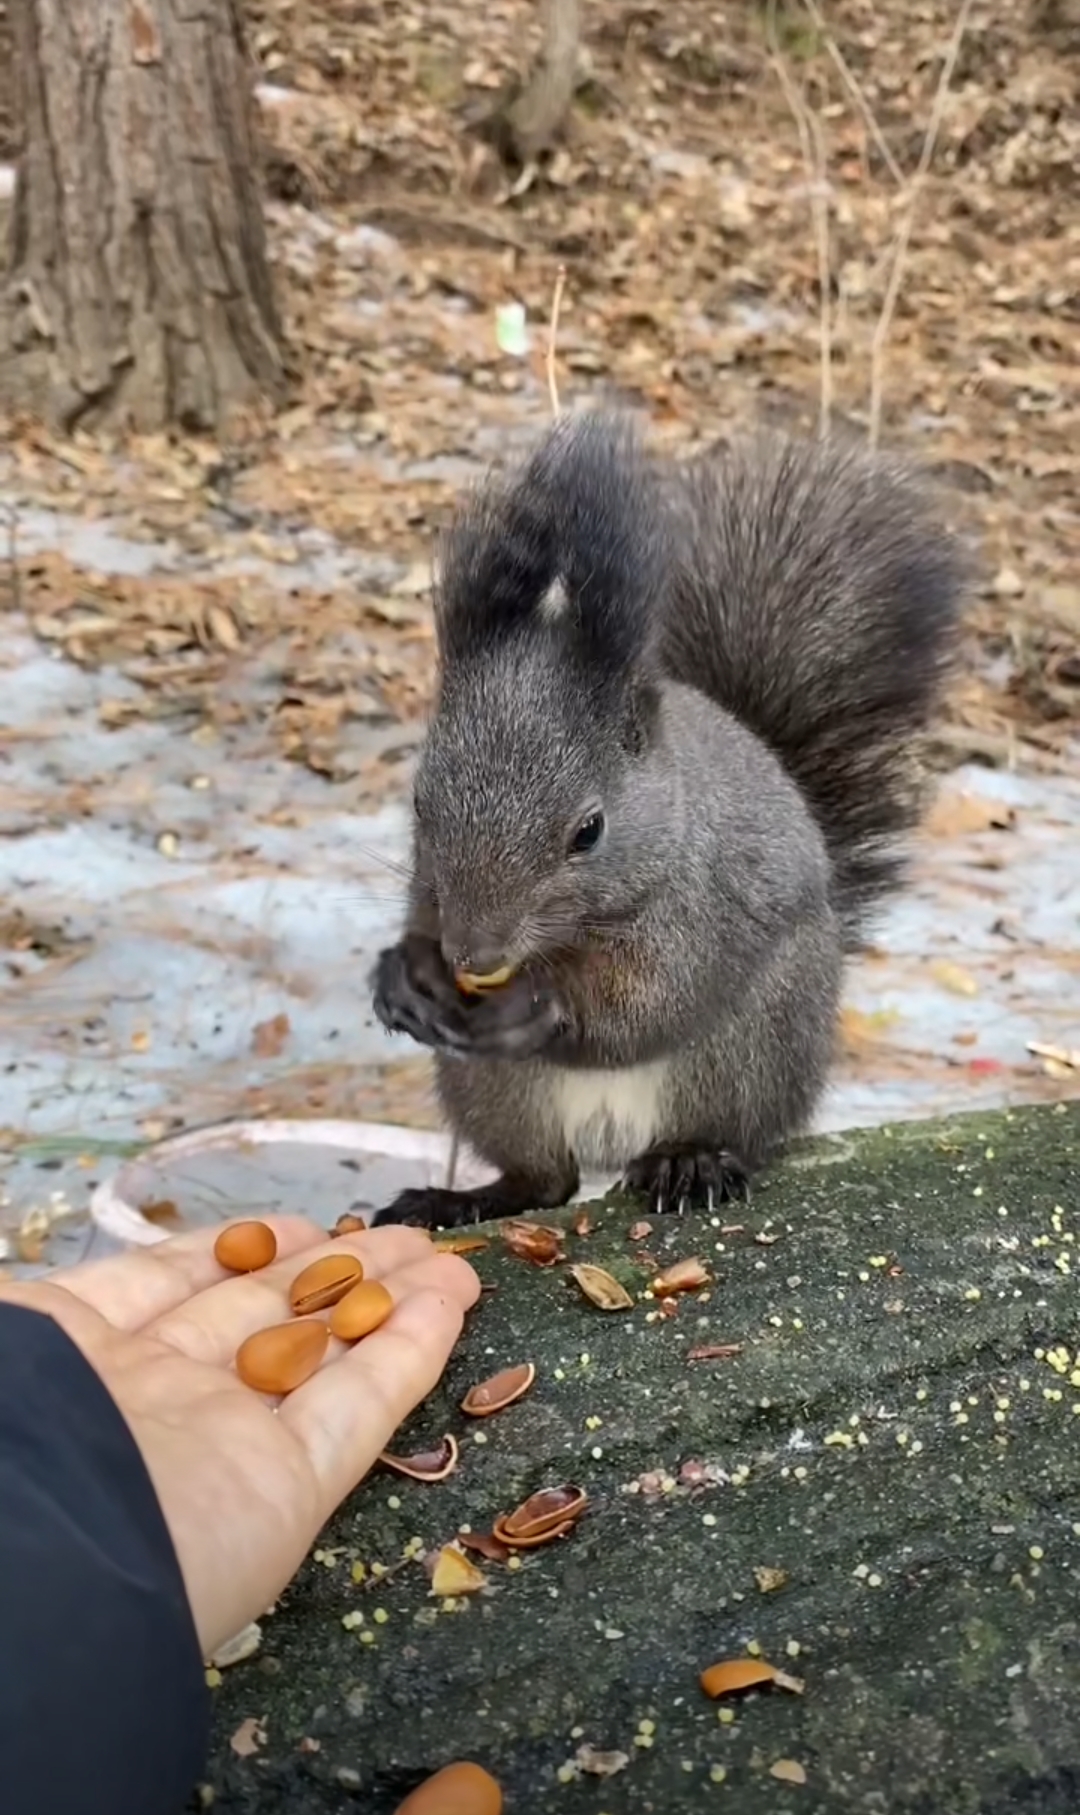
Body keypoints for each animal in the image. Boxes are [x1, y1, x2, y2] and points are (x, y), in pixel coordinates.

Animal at [368, 410, 965, 1226]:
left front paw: (541, 1002)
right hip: (495, 1089)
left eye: (588, 830)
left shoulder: (701, 907)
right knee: (544, 1181)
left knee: (722, 1129)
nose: (474, 955)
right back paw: (458, 1201)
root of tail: (613, 1145)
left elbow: (651, 1000)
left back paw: (689, 1162)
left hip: (749, 1050)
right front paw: (401, 975)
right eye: (420, 801)